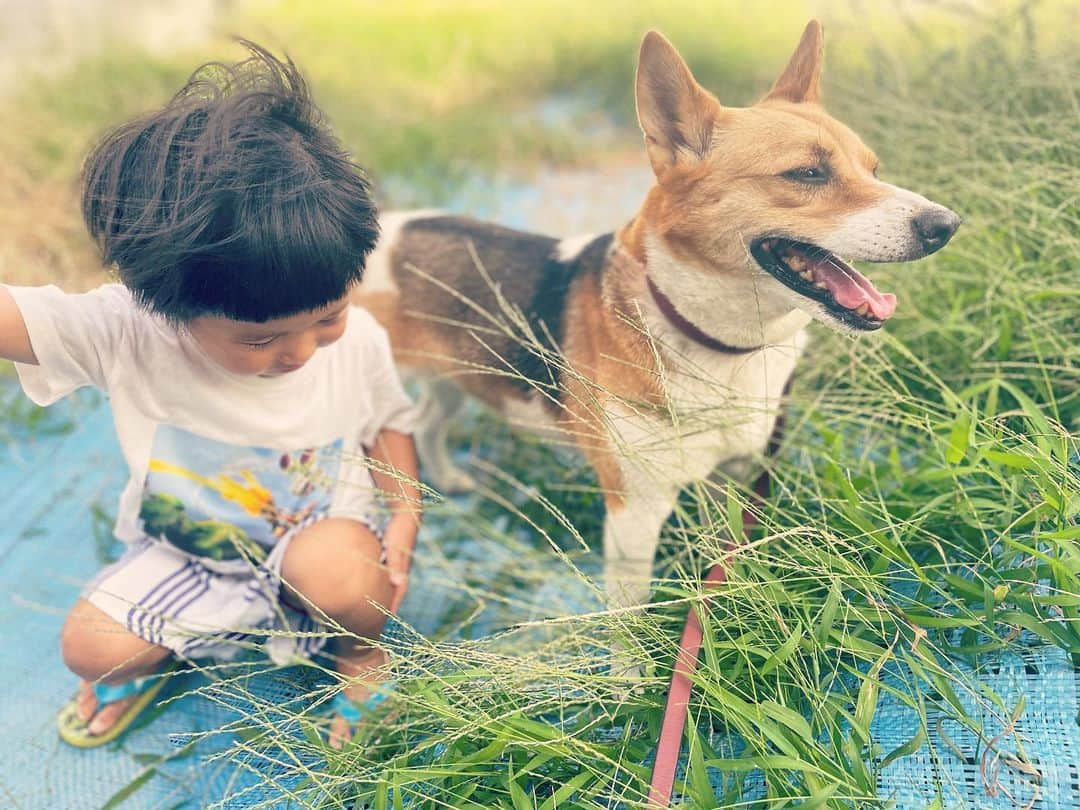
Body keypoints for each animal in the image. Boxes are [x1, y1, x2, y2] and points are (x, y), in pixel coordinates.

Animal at [356, 23, 963, 613]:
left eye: (874, 168)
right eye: (807, 173)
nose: (947, 225)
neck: (719, 346)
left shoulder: (731, 479)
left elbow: (723, 558)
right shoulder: (634, 517)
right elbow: (631, 619)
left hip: (456, 378)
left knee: (427, 421)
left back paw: (448, 477)